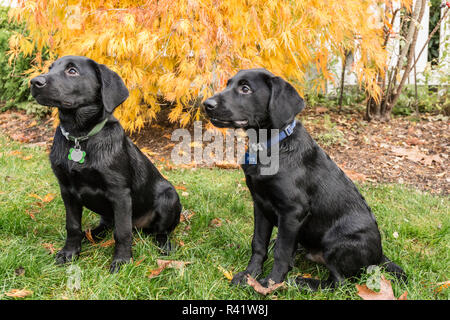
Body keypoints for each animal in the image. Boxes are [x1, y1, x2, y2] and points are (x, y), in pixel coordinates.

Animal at [29, 55, 182, 272]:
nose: (34, 82)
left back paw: (164, 245)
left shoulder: (120, 193)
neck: (79, 137)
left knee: (160, 231)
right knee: (106, 224)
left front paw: (122, 261)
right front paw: (70, 252)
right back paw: (91, 235)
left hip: (169, 197)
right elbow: (72, 226)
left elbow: (122, 232)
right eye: (50, 68)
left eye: (72, 71)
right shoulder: (66, 190)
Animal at [202, 69, 406, 290]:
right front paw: (250, 275)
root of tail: (379, 256)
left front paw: (270, 284)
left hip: (337, 240)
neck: (270, 146)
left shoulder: (293, 211)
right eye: (228, 84)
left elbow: (281, 252)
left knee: (339, 282)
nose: (206, 104)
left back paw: (302, 282)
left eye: (245, 88)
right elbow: (258, 243)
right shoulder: (260, 204)